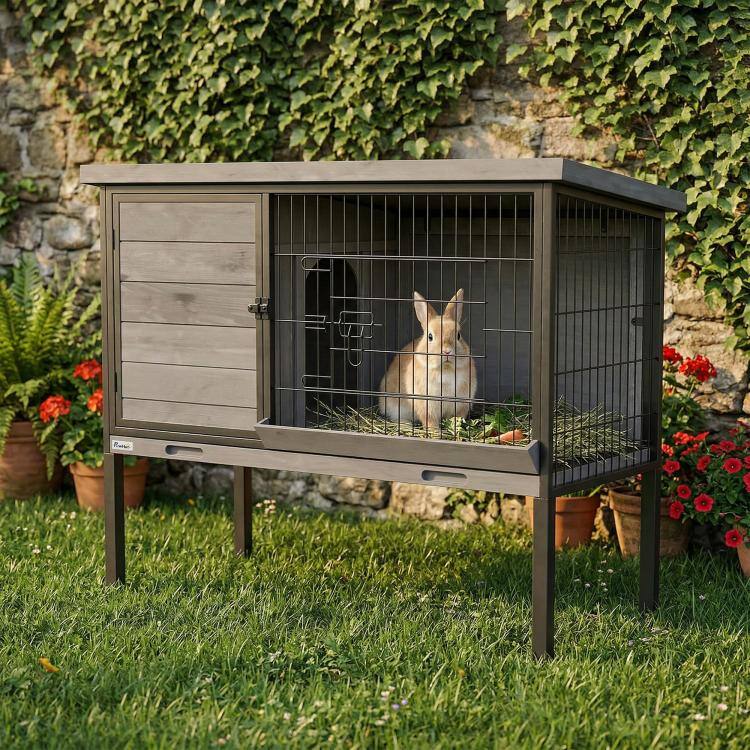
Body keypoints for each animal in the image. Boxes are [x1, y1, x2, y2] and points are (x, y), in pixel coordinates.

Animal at [378, 289, 477, 431]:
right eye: (430, 336)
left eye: (458, 335)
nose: (447, 351)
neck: (444, 369)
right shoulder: (426, 406)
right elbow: (430, 421)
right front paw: (435, 432)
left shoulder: (461, 404)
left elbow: (457, 418)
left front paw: (455, 428)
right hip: (394, 406)